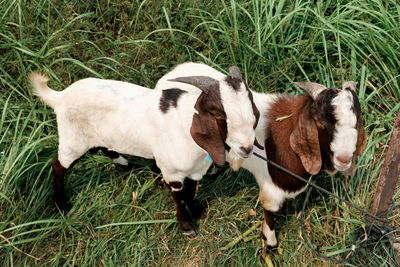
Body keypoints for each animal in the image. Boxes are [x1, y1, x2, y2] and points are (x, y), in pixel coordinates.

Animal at [155, 62, 368, 247]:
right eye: (321, 122)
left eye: (357, 121)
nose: (344, 159)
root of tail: (172, 72)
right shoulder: (271, 189)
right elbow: (271, 214)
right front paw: (270, 243)